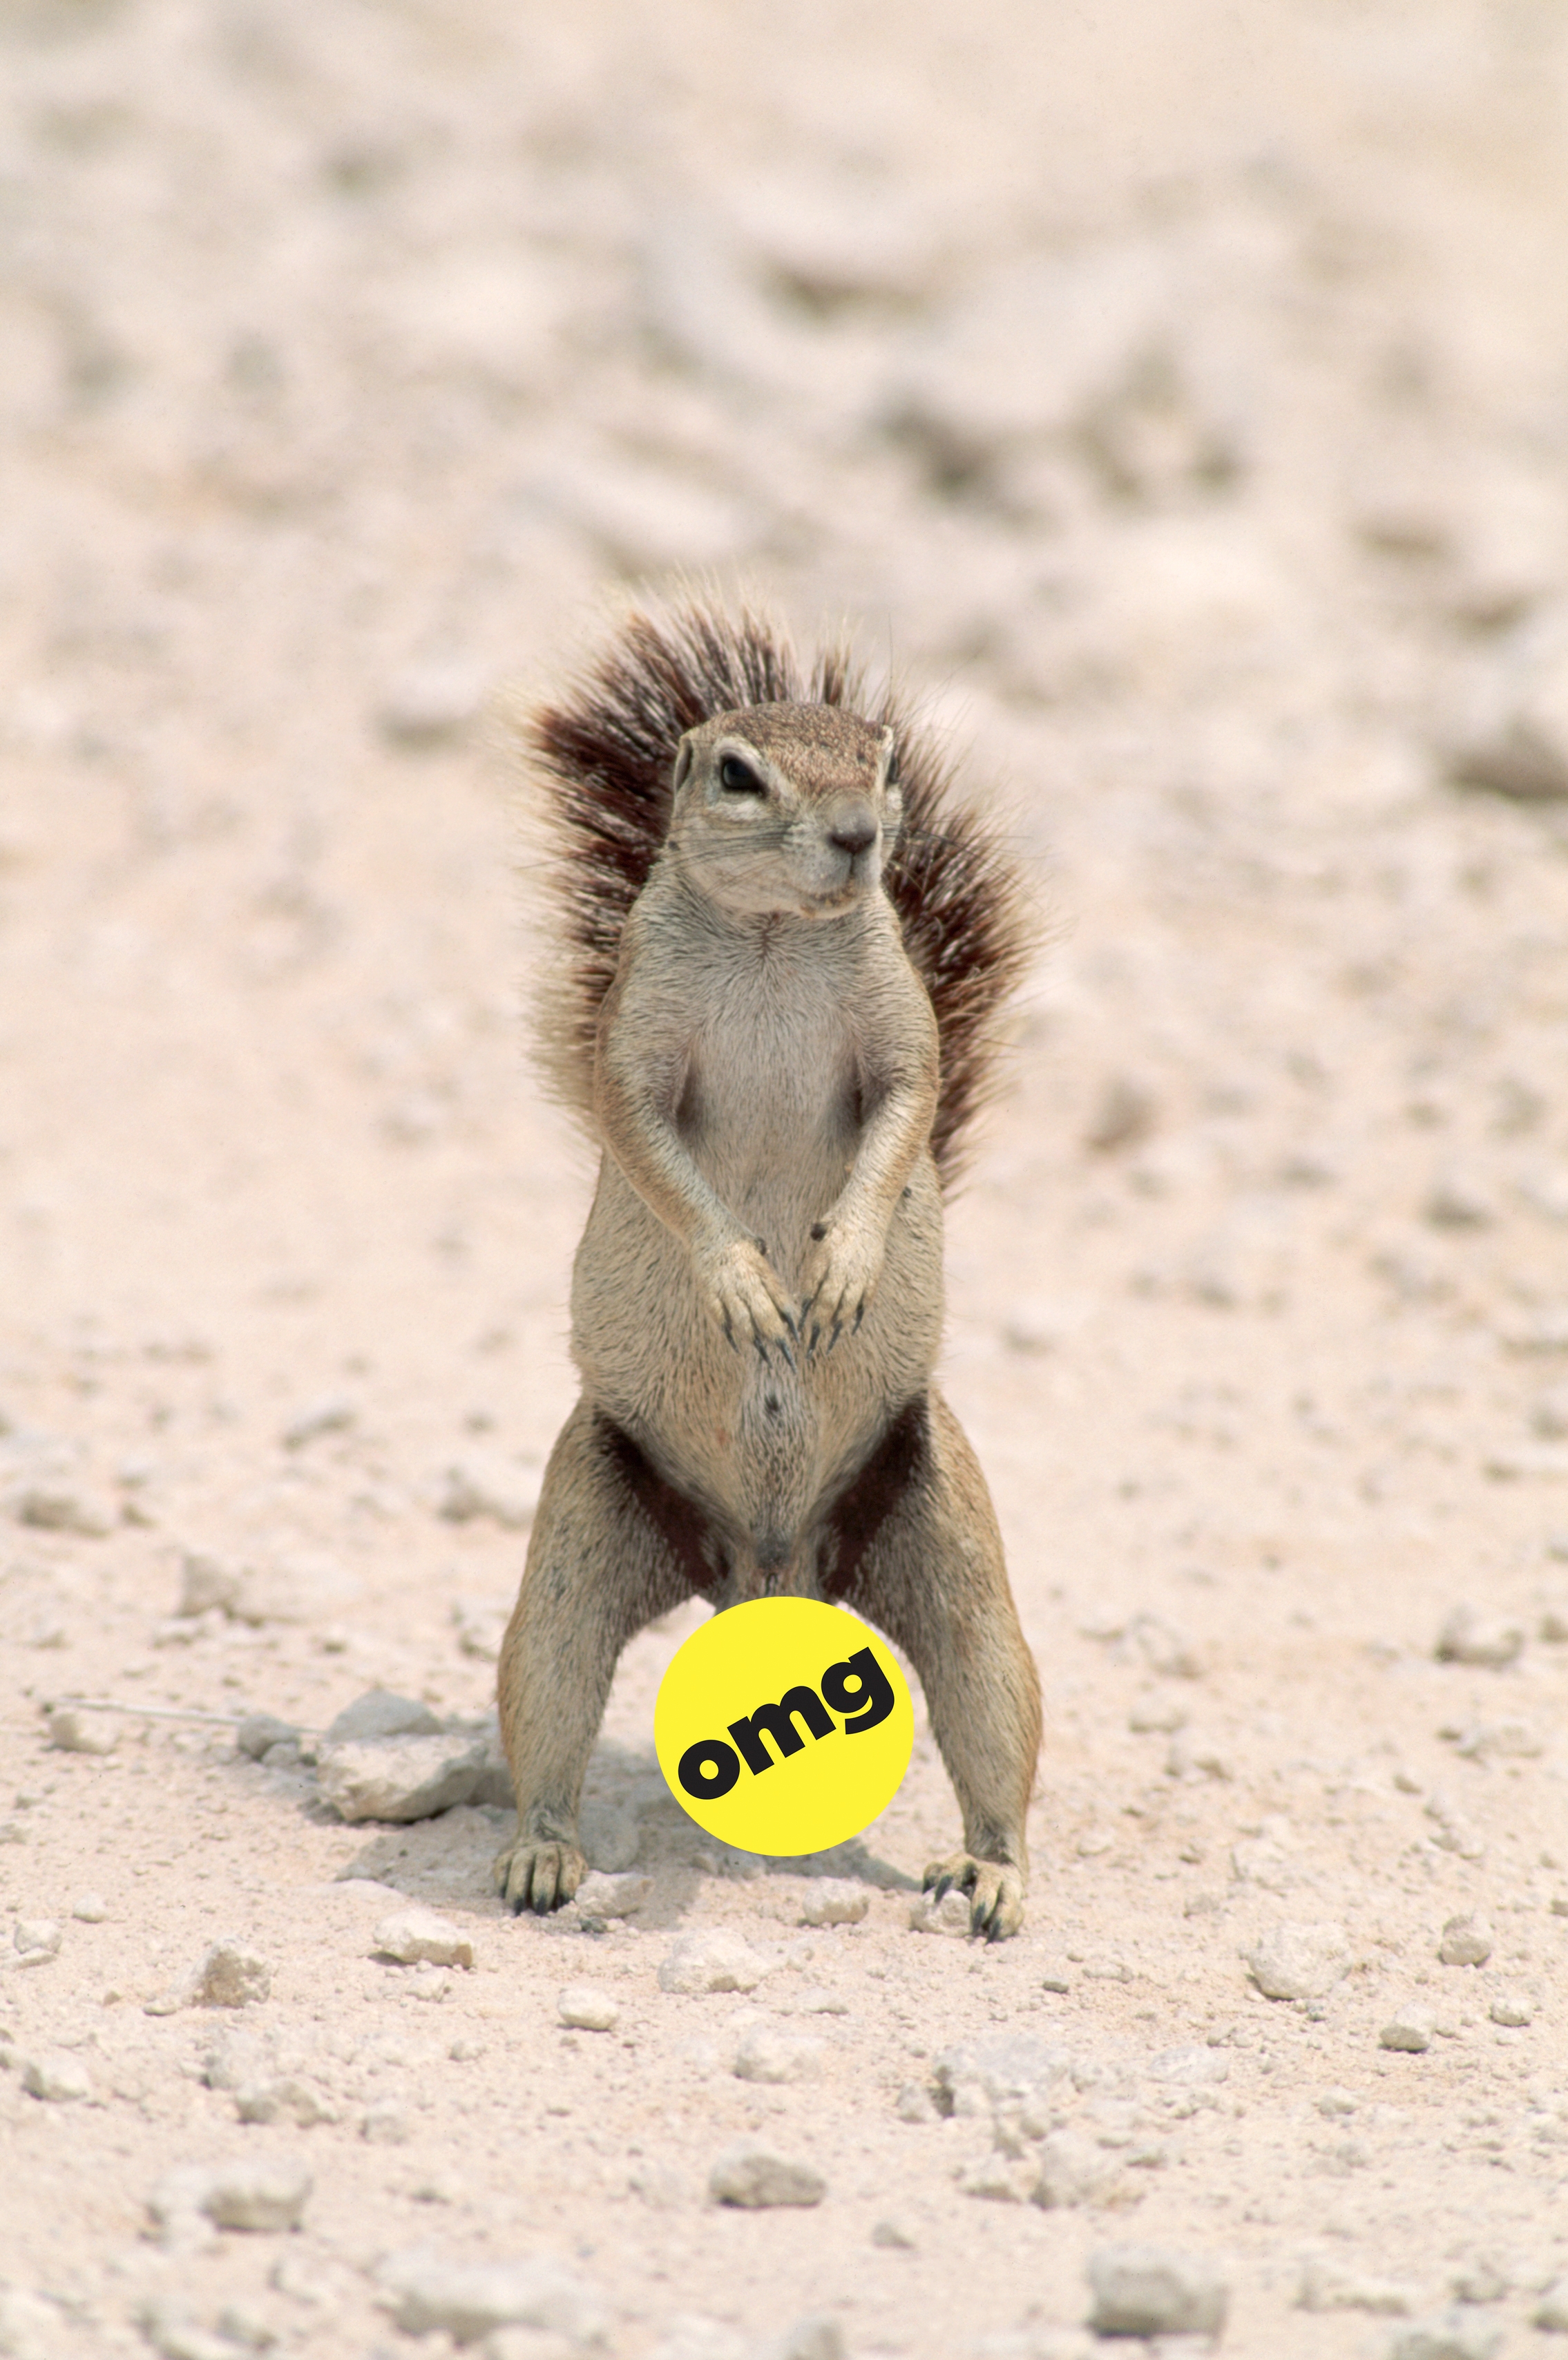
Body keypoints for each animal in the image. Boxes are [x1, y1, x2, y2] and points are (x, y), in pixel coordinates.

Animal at [495, 596, 1043, 1937]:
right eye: (739, 775)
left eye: (882, 761)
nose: (858, 836)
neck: (774, 941)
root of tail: (769, 1568)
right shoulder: (635, 1046)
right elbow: (647, 1144)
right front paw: (743, 1280)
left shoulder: (901, 1029)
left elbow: (905, 1116)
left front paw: (842, 1262)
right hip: (582, 1534)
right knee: (548, 1693)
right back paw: (541, 1856)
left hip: (946, 1537)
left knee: (988, 1703)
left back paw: (991, 1874)